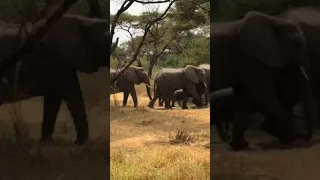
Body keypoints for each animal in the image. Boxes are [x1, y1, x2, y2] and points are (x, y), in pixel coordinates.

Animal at [0, 14, 110, 145]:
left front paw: (46, 142)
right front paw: (80, 143)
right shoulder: (58, 62)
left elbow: (55, 98)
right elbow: (70, 94)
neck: (85, 21)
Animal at [211, 10, 316, 150]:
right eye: (297, 43)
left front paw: (240, 146)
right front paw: (291, 140)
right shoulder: (251, 59)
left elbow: (243, 98)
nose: (306, 137)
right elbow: (264, 96)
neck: (274, 20)